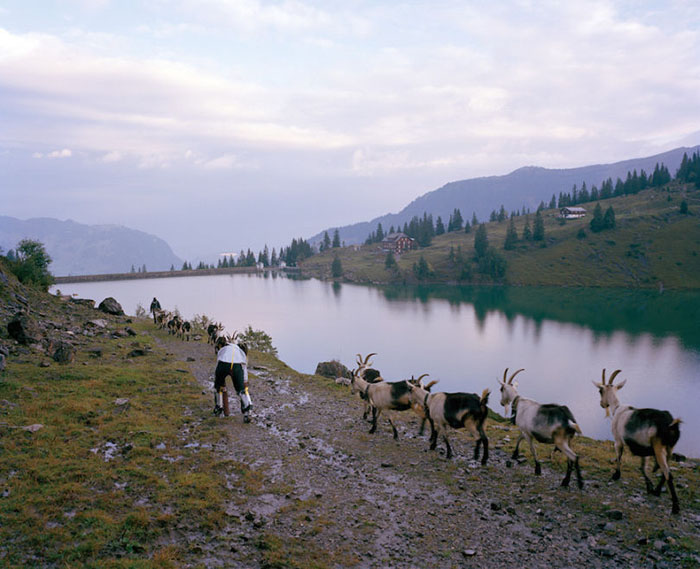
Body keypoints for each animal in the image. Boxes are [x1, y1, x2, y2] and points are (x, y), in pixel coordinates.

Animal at [592, 368, 680, 516]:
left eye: (600, 391)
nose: (601, 404)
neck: (617, 409)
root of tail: (671, 424)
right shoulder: (644, 448)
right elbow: (642, 467)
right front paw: (649, 487)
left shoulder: (618, 441)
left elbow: (619, 457)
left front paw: (616, 475)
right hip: (669, 449)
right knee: (665, 471)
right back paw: (657, 491)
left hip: (659, 448)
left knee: (669, 474)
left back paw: (675, 507)